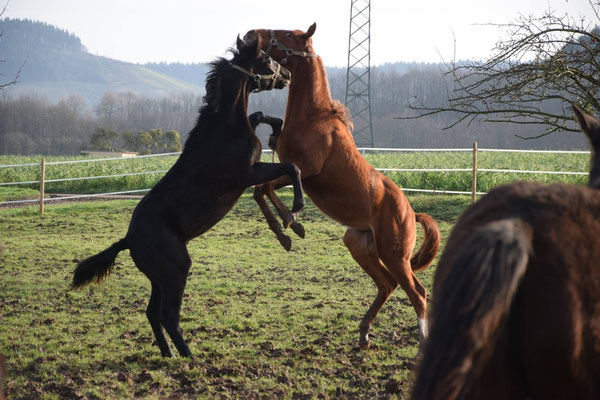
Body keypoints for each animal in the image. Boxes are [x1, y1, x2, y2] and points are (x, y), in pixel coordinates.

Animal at [72, 36, 302, 358]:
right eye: (268, 61)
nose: (289, 76)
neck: (223, 130)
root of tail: (127, 240)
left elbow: (260, 119)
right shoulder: (248, 174)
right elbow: (291, 168)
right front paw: (295, 214)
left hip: (159, 277)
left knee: (152, 313)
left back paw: (168, 354)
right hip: (176, 270)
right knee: (168, 315)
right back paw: (188, 356)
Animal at [245, 25, 440, 350]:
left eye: (288, 34)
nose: (251, 34)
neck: (314, 117)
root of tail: (412, 214)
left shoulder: (305, 170)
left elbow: (265, 189)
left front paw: (292, 222)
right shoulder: (287, 165)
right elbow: (260, 188)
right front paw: (288, 231)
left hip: (395, 255)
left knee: (417, 292)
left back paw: (422, 339)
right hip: (359, 245)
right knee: (387, 285)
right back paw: (364, 333)